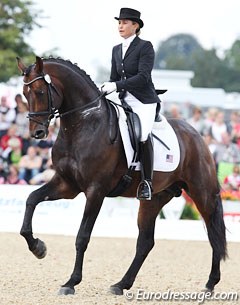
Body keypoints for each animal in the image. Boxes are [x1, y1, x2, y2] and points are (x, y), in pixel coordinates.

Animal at [15, 56, 226, 294]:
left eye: (41, 92)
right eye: (24, 94)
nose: (37, 133)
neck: (83, 124)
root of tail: (197, 135)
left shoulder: (95, 191)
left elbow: (82, 237)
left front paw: (71, 282)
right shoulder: (66, 185)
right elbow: (31, 200)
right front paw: (38, 248)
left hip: (202, 194)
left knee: (213, 234)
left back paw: (210, 283)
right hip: (154, 199)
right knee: (145, 243)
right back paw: (121, 284)